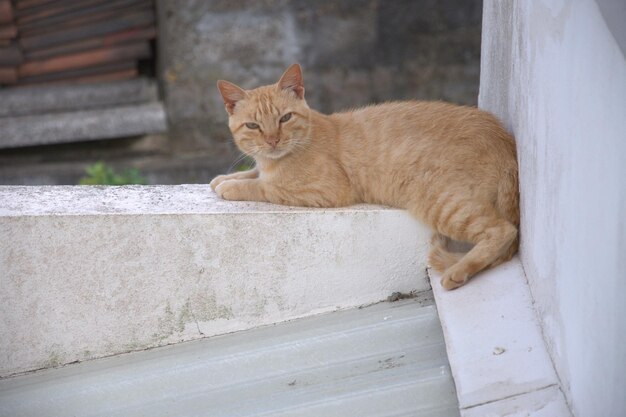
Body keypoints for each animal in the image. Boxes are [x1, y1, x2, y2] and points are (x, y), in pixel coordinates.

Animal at [210, 64, 516, 290]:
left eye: (285, 118)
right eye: (253, 126)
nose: (273, 140)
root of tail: (503, 139)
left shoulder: (327, 190)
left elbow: (265, 186)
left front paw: (232, 186)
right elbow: (253, 172)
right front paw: (224, 178)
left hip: (441, 200)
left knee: (504, 230)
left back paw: (458, 272)